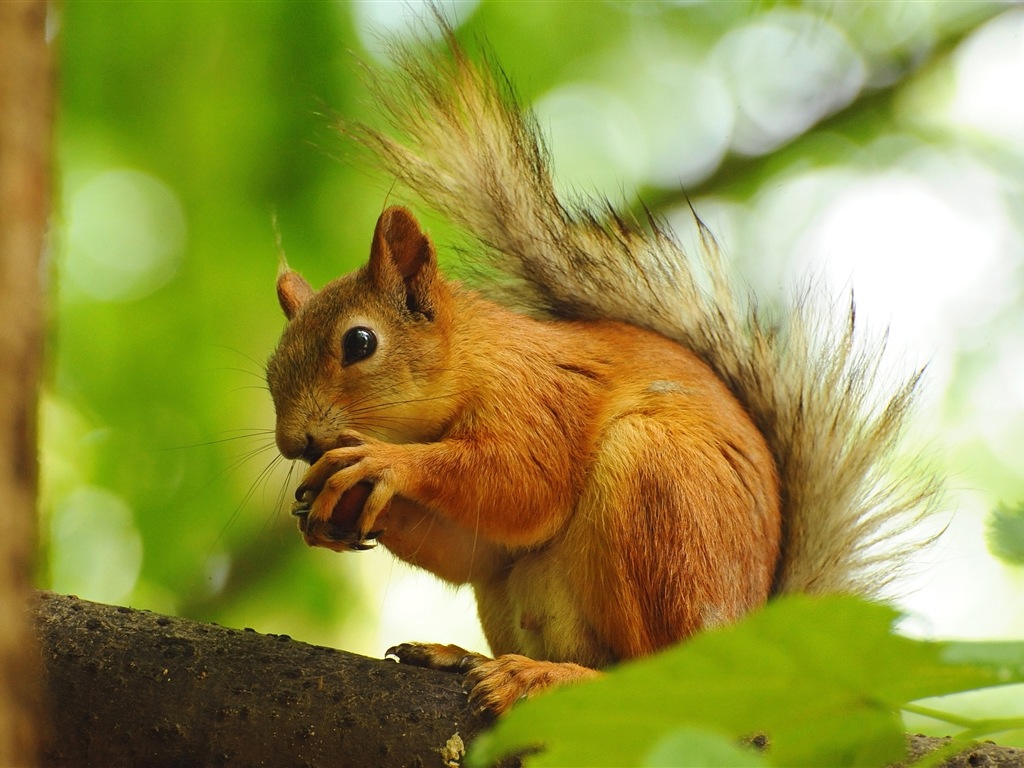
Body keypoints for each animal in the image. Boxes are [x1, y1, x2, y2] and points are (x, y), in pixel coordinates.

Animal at [262, 16, 937, 716]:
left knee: (652, 674)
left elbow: (521, 484)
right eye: (269, 367)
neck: (474, 359)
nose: (294, 442)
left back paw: (544, 677)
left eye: (360, 343)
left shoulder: (539, 398)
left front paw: (382, 462)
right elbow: (474, 550)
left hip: (657, 495)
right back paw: (463, 656)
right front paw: (330, 507)